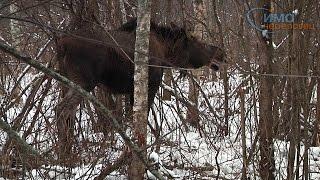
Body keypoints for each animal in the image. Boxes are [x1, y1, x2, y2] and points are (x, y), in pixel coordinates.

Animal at [55, 18, 225, 159]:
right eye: (200, 43)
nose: (222, 53)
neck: (166, 52)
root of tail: (61, 44)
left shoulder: (132, 91)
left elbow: (132, 120)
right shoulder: (151, 86)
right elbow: (141, 122)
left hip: (65, 81)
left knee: (67, 111)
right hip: (83, 82)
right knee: (62, 109)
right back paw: (66, 153)